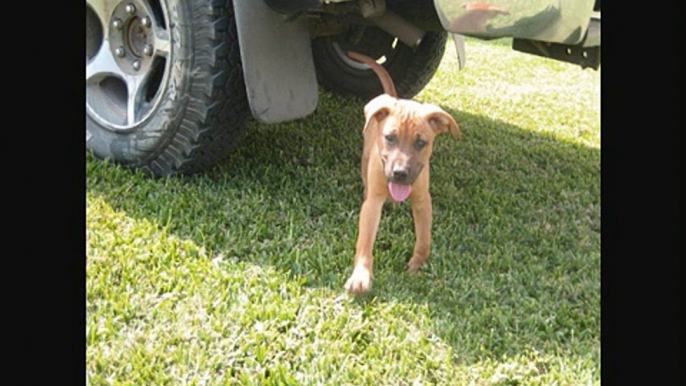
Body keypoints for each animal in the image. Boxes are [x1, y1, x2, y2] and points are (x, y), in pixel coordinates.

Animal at [344, 50, 462, 292]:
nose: (399, 173)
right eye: (390, 138)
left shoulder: (423, 200)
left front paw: (416, 266)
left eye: (421, 143)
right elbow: (364, 243)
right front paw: (361, 275)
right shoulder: (373, 204)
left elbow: (424, 240)